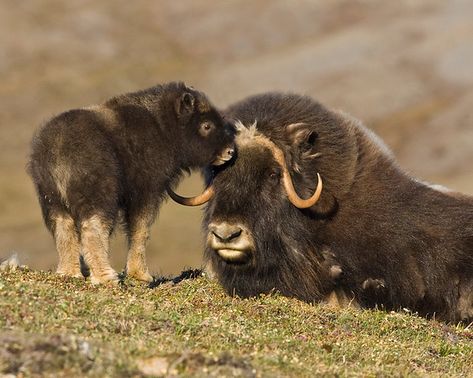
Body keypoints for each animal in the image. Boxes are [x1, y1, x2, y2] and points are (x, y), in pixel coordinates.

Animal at [26, 82, 233, 284]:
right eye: (206, 125)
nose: (230, 152)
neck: (162, 127)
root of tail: (57, 149)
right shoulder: (146, 191)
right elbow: (140, 229)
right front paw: (141, 275)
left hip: (52, 199)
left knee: (64, 228)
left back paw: (70, 273)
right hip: (98, 194)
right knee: (92, 228)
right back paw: (106, 277)